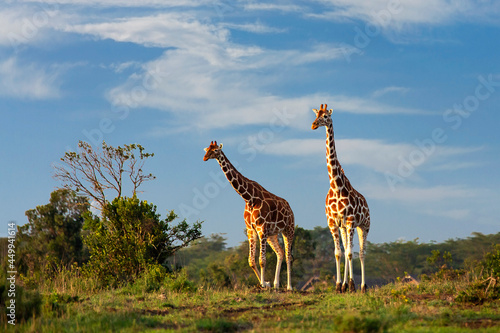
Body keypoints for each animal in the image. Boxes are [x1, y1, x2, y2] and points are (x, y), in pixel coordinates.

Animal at [203, 139, 296, 290]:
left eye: (216, 150)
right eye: (207, 149)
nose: (205, 157)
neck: (249, 198)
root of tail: (290, 208)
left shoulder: (261, 228)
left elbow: (262, 260)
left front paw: (263, 284)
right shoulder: (251, 229)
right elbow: (251, 260)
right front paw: (266, 283)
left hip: (289, 229)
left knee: (289, 256)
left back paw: (289, 287)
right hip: (273, 234)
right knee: (281, 253)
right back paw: (276, 284)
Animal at [310, 103, 370, 290]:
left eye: (326, 117)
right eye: (317, 115)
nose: (313, 125)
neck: (336, 186)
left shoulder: (350, 221)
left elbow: (350, 253)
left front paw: (351, 285)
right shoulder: (333, 222)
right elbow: (338, 253)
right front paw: (339, 286)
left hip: (364, 226)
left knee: (362, 253)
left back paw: (362, 287)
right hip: (345, 227)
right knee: (347, 249)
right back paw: (345, 285)